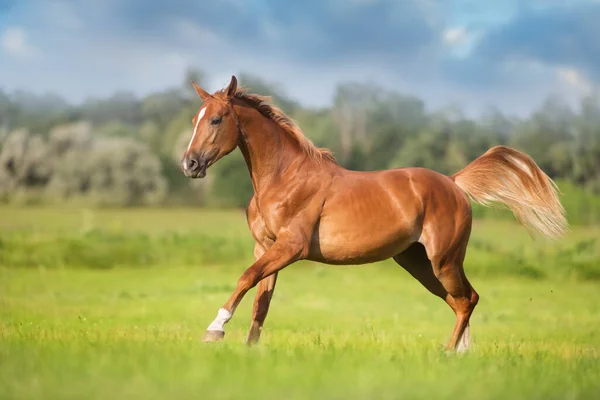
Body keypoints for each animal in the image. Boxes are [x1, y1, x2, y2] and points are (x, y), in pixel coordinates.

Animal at [179, 76, 568, 354]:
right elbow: (261, 301)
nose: (189, 164)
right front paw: (249, 349)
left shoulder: (291, 248)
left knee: (467, 299)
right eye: (195, 119)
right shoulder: (265, 248)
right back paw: (459, 353)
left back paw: (448, 353)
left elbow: (246, 278)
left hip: (444, 261)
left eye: (216, 119)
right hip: (418, 264)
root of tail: (455, 184)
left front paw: (214, 330)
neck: (283, 179)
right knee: (460, 301)